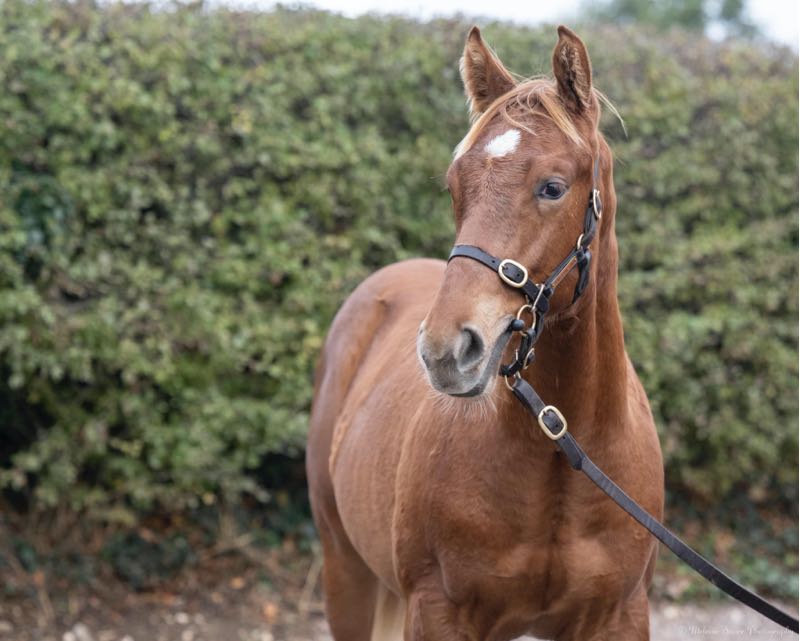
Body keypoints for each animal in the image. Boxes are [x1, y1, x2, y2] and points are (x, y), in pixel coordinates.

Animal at [306, 25, 664, 641]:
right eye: (455, 186)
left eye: (552, 187)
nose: (446, 351)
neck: (562, 454)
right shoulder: (439, 612)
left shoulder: (619, 616)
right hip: (343, 571)